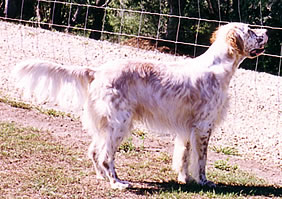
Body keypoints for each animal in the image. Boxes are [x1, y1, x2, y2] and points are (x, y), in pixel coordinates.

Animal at [14, 22, 268, 189]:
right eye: (250, 30)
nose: (267, 32)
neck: (218, 66)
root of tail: (97, 71)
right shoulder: (204, 126)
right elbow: (202, 160)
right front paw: (205, 182)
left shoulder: (187, 128)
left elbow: (184, 157)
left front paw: (185, 179)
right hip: (121, 123)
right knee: (106, 156)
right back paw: (117, 182)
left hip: (107, 125)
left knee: (94, 151)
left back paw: (101, 177)